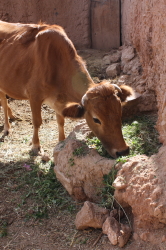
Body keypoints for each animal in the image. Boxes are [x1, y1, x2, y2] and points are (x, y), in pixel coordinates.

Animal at [0, 21, 134, 158]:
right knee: (4, 102)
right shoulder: (34, 96)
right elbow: (37, 122)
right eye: (96, 119)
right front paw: (36, 147)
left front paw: (62, 143)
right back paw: (7, 127)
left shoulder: (59, 101)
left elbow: (60, 121)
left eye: (120, 112)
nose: (123, 151)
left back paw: (12, 115)